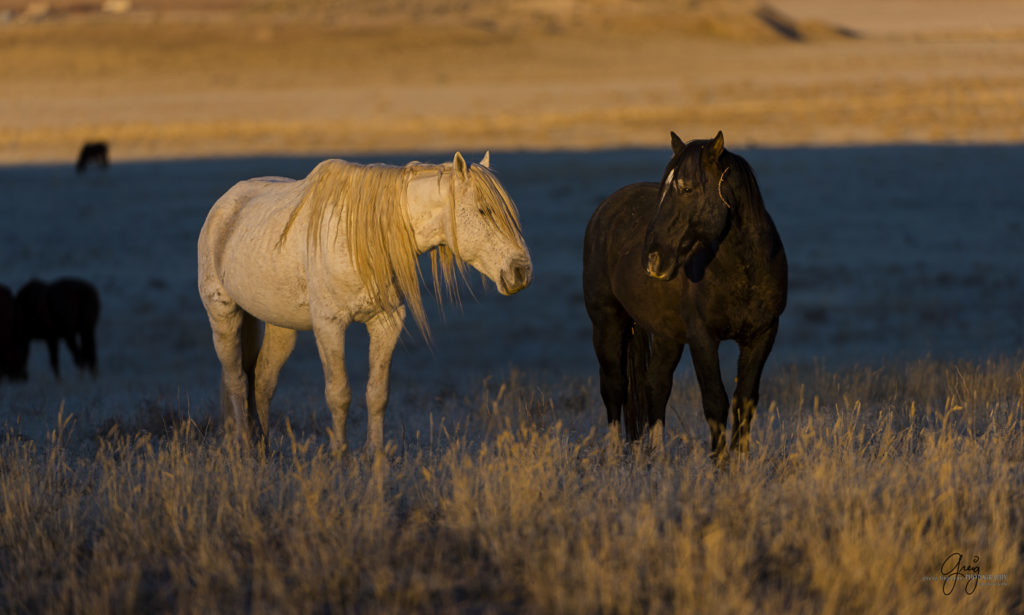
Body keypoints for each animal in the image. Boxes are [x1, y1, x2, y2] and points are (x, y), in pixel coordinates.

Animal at [200, 151, 536, 452]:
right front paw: (340, 457)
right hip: (223, 316)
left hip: (281, 325)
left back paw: (264, 450)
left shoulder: (387, 323)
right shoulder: (330, 325)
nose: (521, 271)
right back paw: (245, 448)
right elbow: (338, 393)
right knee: (237, 380)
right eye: (483, 210)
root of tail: (224, 205)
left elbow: (377, 394)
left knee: (263, 381)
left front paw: (375, 459)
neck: (366, 238)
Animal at [585, 130, 782, 456]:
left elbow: (745, 402)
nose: (653, 259)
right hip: (607, 321)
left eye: (686, 189)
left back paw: (657, 457)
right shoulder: (702, 337)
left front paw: (740, 463)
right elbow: (715, 401)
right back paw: (614, 456)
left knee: (657, 384)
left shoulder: (762, 335)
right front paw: (719, 463)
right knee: (614, 385)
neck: (743, 271)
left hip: (667, 335)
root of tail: (606, 208)